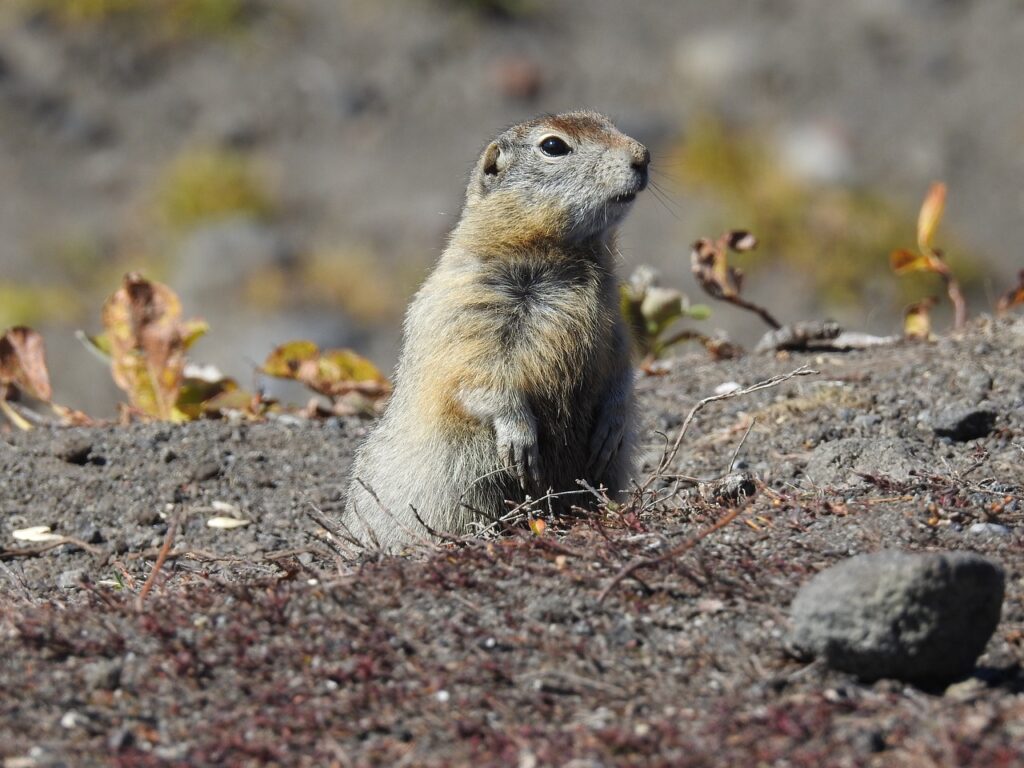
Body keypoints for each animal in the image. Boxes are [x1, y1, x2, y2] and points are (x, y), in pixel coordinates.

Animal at [344, 111, 647, 548]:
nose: (643, 156)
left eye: (606, 120)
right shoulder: (468, 309)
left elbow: (621, 362)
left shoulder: (612, 316)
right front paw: (520, 438)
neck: (562, 253)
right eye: (553, 146)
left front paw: (614, 423)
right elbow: (480, 372)